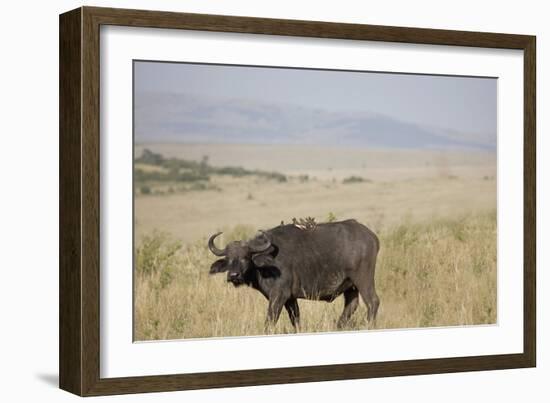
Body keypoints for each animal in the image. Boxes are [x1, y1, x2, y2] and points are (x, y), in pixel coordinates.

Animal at [209, 221, 382, 332]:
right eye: (229, 259)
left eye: (245, 257)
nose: (233, 275)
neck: (265, 264)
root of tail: (372, 237)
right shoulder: (291, 299)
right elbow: (296, 320)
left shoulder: (279, 296)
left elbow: (269, 322)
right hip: (350, 286)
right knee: (351, 305)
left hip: (363, 279)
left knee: (373, 302)